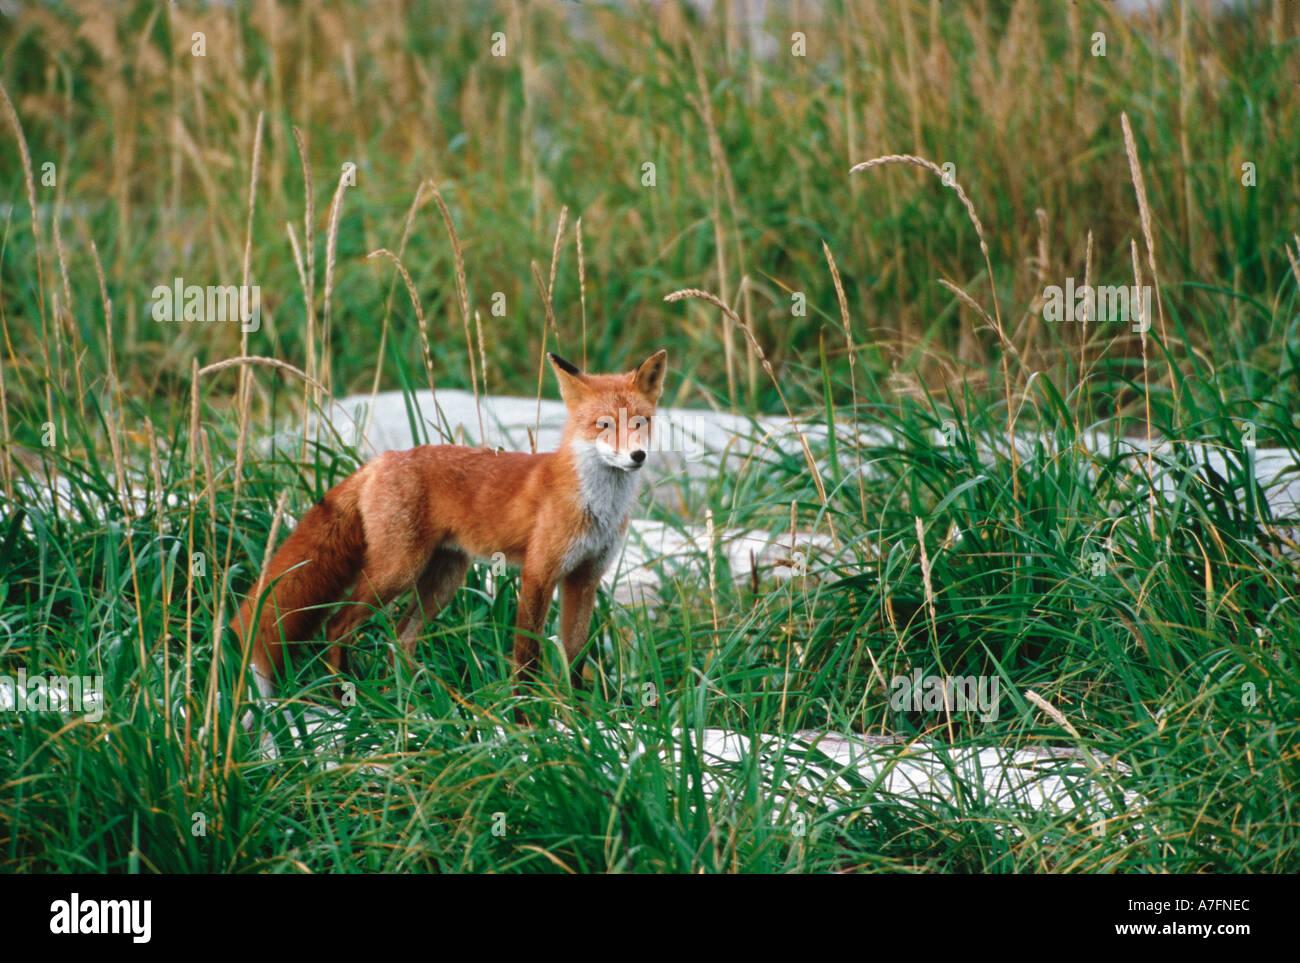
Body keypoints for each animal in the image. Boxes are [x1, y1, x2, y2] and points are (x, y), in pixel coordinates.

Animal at [231, 349, 668, 705]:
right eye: (604, 425)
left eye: (641, 422)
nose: (638, 456)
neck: (596, 506)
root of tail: (382, 459)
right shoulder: (539, 572)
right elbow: (526, 657)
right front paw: (527, 719)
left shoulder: (584, 578)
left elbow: (575, 659)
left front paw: (580, 718)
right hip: (396, 573)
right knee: (337, 625)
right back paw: (347, 698)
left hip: (442, 582)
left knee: (400, 639)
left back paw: (411, 706)